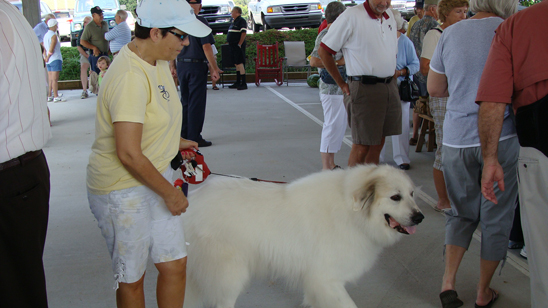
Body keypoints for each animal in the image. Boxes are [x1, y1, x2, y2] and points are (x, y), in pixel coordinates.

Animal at [182, 165, 426, 306]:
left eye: (412, 194)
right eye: (395, 197)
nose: (420, 217)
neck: (353, 213)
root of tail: (191, 202)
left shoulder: (318, 285)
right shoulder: (326, 280)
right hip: (229, 276)